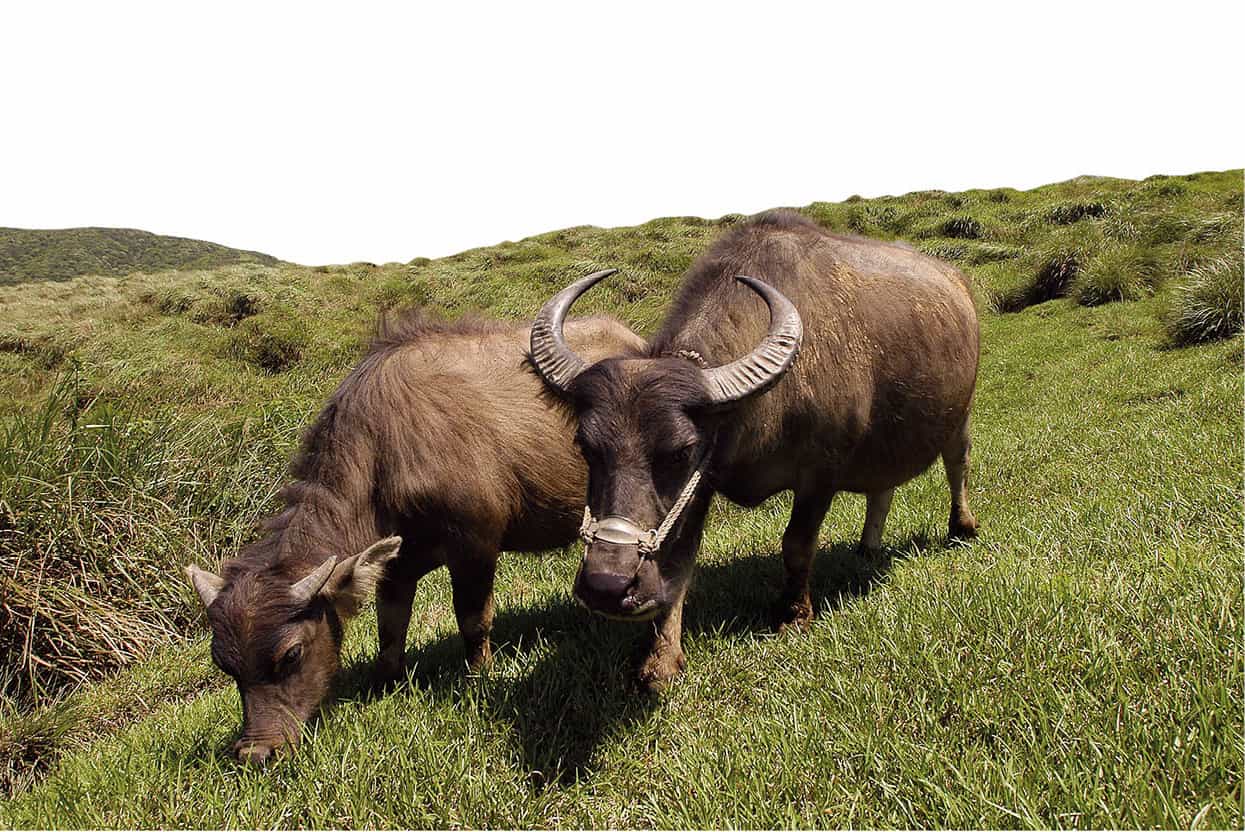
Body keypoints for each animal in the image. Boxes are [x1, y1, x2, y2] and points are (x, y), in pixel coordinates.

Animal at [183, 310, 642, 762]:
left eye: (291, 654)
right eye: (224, 665)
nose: (255, 752)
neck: (386, 452)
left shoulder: (474, 546)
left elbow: (473, 620)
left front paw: (479, 676)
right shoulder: (396, 565)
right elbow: (390, 627)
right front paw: (384, 682)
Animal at [525, 209, 981, 687]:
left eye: (680, 451)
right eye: (586, 447)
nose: (606, 586)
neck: (767, 400)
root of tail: (958, 282)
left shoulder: (819, 474)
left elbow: (797, 543)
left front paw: (794, 614)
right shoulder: (702, 483)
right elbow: (679, 559)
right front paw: (662, 657)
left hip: (961, 414)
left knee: (957, 463)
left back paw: (962, 526)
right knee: (884, 487)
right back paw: (868, 546)